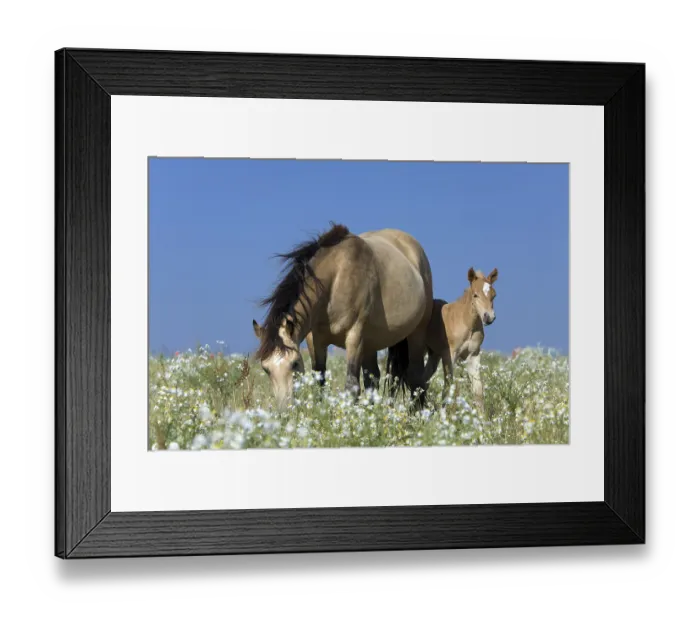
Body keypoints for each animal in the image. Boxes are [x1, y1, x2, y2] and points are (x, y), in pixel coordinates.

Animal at [252, 223, 433, 409]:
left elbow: (352, 386)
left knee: (416, 375)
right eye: (266, 368)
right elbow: (320, 382)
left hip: (416, 333)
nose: (285, 410)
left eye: (294, 363)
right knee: (373, 379)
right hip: (370, 344)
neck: (336, 278)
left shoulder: (354, 336)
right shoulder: (315, 341)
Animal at [423, 267, 498, 405]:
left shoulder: (473, 355)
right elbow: (447, 389)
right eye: (475, 294)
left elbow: (478, 391)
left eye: (494, 295)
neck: (466, 323)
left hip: (434, 355)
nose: (489, 317)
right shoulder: (449, 354)